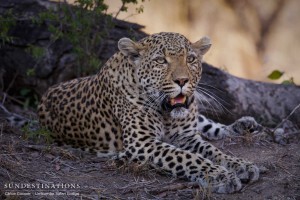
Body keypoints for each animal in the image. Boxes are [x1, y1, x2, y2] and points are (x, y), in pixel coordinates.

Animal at [37, 32, 260, 193]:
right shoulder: (142, 143)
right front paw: (220, 176)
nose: (182, 81)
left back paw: (245, 125)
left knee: (209, 125)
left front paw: (240, 165)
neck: (166, 114)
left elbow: (213, 151)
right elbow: (187, 157)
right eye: (161, 61)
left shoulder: (186, 136)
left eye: (190, 59)